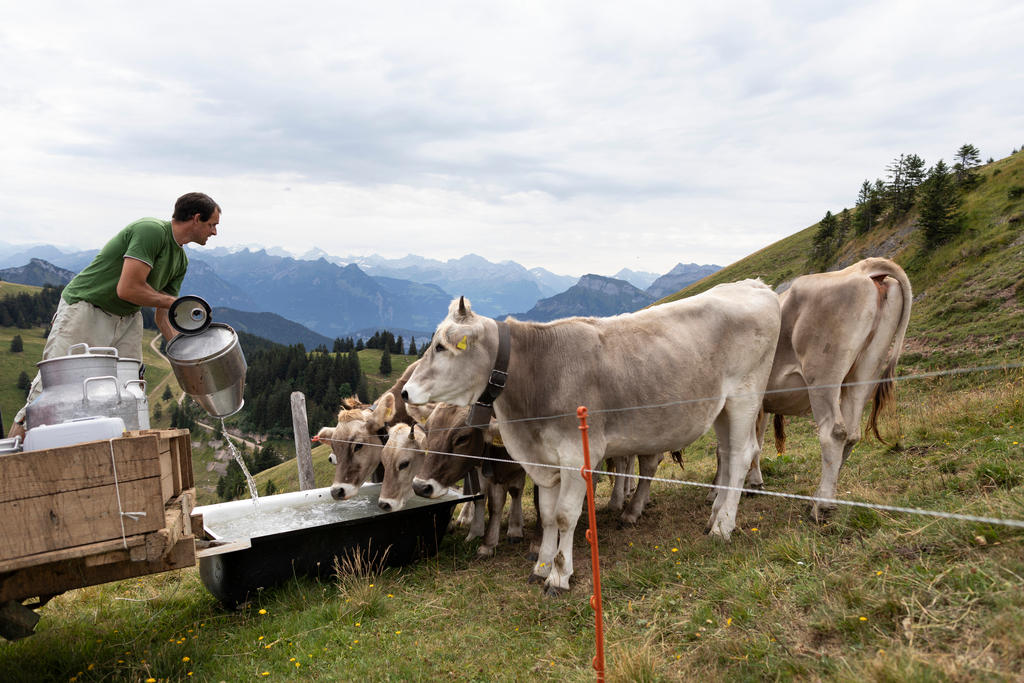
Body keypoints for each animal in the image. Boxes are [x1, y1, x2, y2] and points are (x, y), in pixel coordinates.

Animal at [403, 280, 778, 593]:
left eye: (441, 346)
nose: (405, 391)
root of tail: (754, 285)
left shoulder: (576, 455)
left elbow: (565, 515)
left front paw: (559, 575)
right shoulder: (545, 459)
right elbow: (547, 513)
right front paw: (541, 566)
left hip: (745, 397)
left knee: (742, 455)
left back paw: (723, 527)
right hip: (721, 408)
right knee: (727, 454)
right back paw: (714, 517)